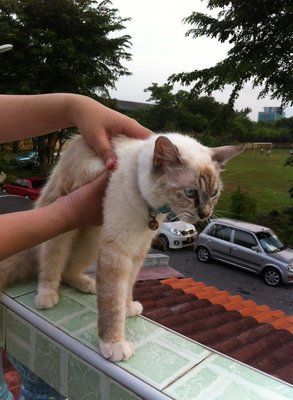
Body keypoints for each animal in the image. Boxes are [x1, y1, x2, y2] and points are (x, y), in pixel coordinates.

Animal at [0, 134, 242, 362]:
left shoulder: (137, 251)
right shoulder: (118, 250)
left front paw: (128, 308)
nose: (205, 214)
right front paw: (114, 344)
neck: (151, 209)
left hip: (92, 239)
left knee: (68, 271)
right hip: (61, 230)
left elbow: (127, 288)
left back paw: (87, 284)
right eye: (191, 192)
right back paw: (47, 296)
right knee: (50, 267)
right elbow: (113, 302)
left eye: (214, 193)